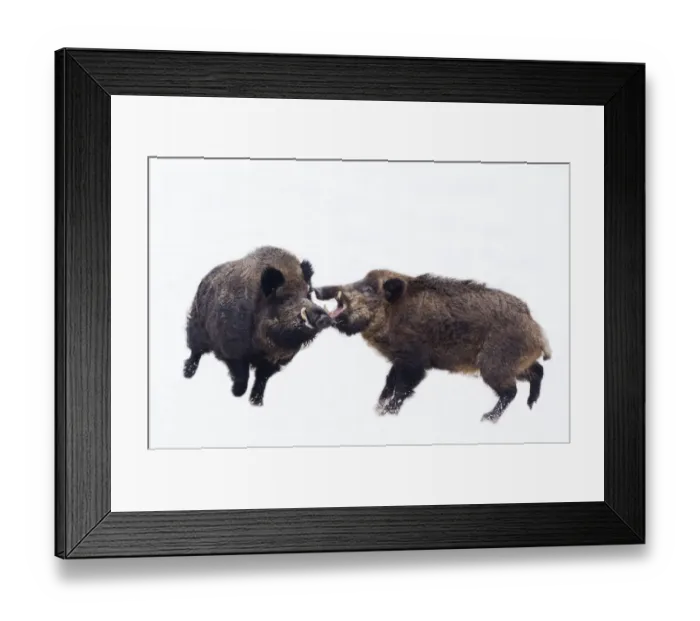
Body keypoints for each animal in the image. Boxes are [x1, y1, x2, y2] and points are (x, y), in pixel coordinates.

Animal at [184, 246, 332, 406]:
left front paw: (256, 402)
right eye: (285, 298)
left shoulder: (273, 361)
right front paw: (237, 393)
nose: (325, 318)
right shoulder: (232, 348)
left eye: (308, 294)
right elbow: (242, 374)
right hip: (196, 325)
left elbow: (262, 378)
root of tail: (205, 278)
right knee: (195, 350)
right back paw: (187, 374)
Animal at [315, 270, 552, 422]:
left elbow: (402, 388)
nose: (318, 289)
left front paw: (387, 414)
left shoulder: (414, 360)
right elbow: (389, 383)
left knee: (511, 390)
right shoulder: (399, 360)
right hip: (516, 364)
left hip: (495, 364)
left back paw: (487, 418)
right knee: (538, 371)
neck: (394, 316)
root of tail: (536, 329)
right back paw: (531, 405)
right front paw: (377, 409)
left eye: (367, 288)